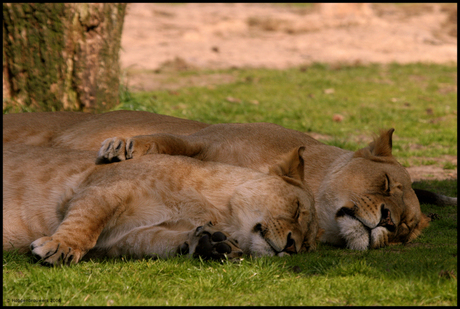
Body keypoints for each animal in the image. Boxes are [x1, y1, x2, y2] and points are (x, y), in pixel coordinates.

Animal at [3, 143, 318, 264]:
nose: (292, 246)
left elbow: (156, 242)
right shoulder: (99, 189)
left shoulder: (121, 239)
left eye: (307, 247)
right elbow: (85, 223)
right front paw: (61, 247)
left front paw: (210, 246)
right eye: (297, 209)